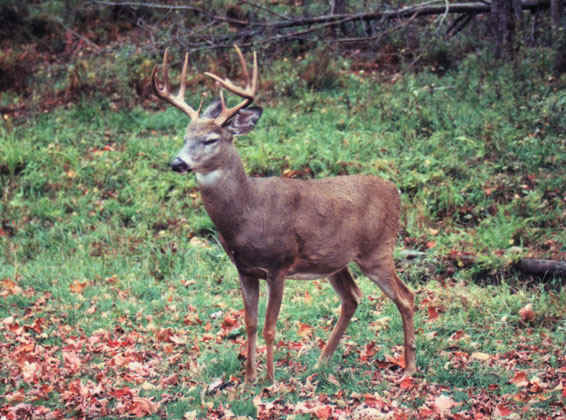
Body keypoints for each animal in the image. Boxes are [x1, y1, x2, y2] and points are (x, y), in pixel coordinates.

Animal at [151, 46, 418, 384]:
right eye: (185, 136)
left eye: (211, 139)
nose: (177, 162)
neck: (247, 214)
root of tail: (395, 192)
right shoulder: (244, 269)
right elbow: (250, 323)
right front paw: (249, 379)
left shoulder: (278, 264)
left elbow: (269, 326)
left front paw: (270, 380)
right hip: (334, 261)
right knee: (352, 298)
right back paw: (320, 363)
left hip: (377, 250)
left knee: (406, 297)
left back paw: (409, 367)